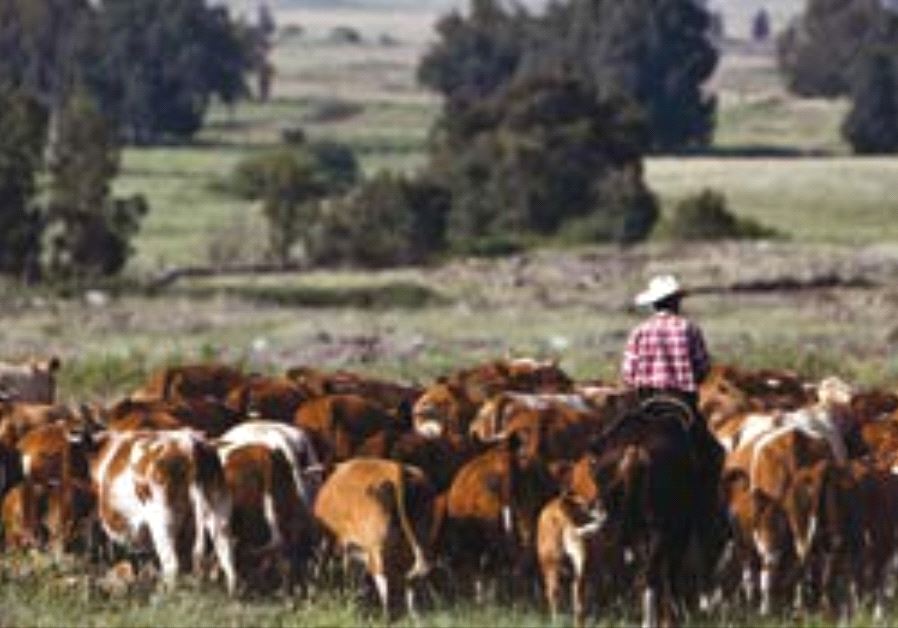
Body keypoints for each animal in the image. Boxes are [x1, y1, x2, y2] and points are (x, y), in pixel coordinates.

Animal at [313, 458, 436, 619]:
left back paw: (385, 615)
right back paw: (414, 615)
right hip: (420, 538)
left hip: (376, 546)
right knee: (412, 578)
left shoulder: (332, 537)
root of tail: (395, 468)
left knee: (382, 577)